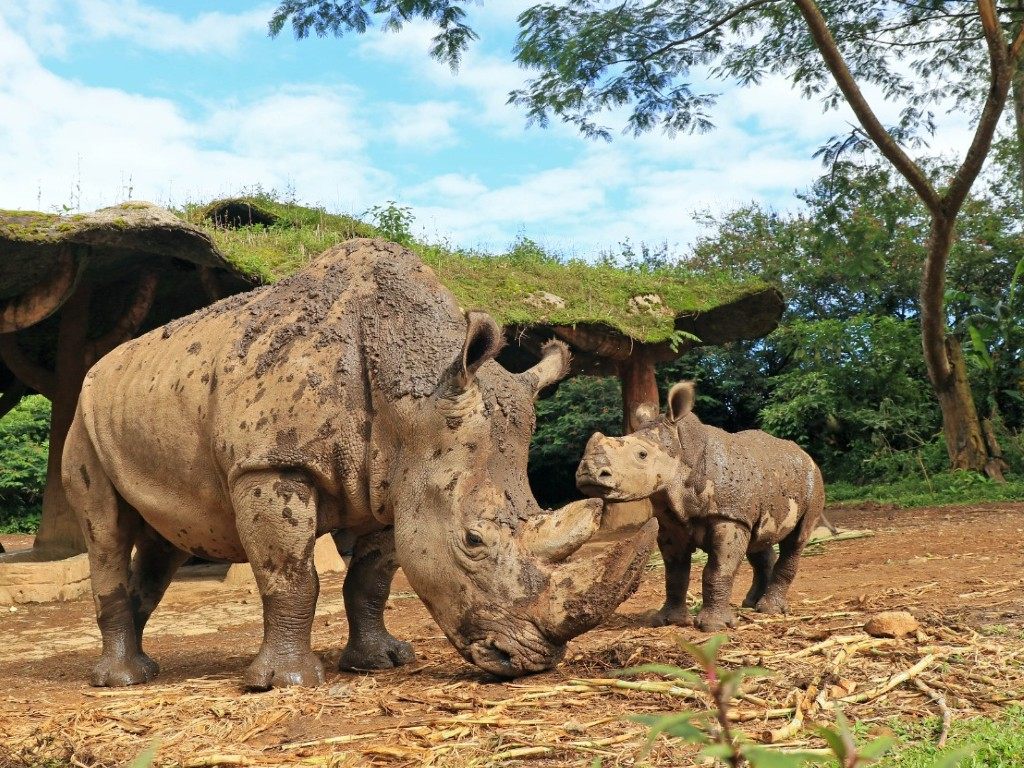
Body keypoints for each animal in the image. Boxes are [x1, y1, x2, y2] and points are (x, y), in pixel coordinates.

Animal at [64, 239, 655, 692]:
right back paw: (121, 681)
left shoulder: (397, 482)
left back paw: (141, 663)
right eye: (472, 540)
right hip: (83, 419)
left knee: (165, 541)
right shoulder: (271, 466)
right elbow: (291, 577)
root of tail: (103, 366)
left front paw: (381, 662)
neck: (414, 395)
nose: (529, 662)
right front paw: (286, 683)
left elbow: (370, 580)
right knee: (107, 532)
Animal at [577, 382, 823, 634]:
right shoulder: (672, 523)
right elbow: (675, 574)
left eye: (642, 454)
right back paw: (750, 604)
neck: (682, 449)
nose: (588, 472)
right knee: (758, 541)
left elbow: (718, 570)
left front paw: (713, 627)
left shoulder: (729, 517)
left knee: (796, 540)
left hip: (813, 481)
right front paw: (669, 620)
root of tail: (805, 456)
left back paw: (770, 610)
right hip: (765, 486)